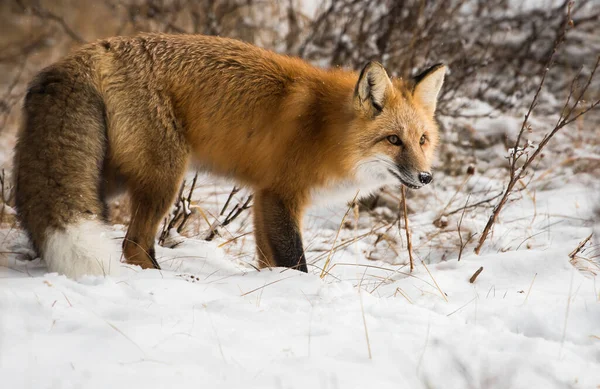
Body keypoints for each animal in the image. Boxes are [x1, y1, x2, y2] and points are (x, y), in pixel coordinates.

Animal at [12, 32, 446, 276]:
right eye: (393, 140)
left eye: (423, 140)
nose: (425, 177)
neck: (326, 129)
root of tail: (92, 51)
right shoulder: (279, 195)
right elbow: (296, 261)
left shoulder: (262, 201)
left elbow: (271, 261)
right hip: (164, 178)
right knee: (133, 244)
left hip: (113, 176)